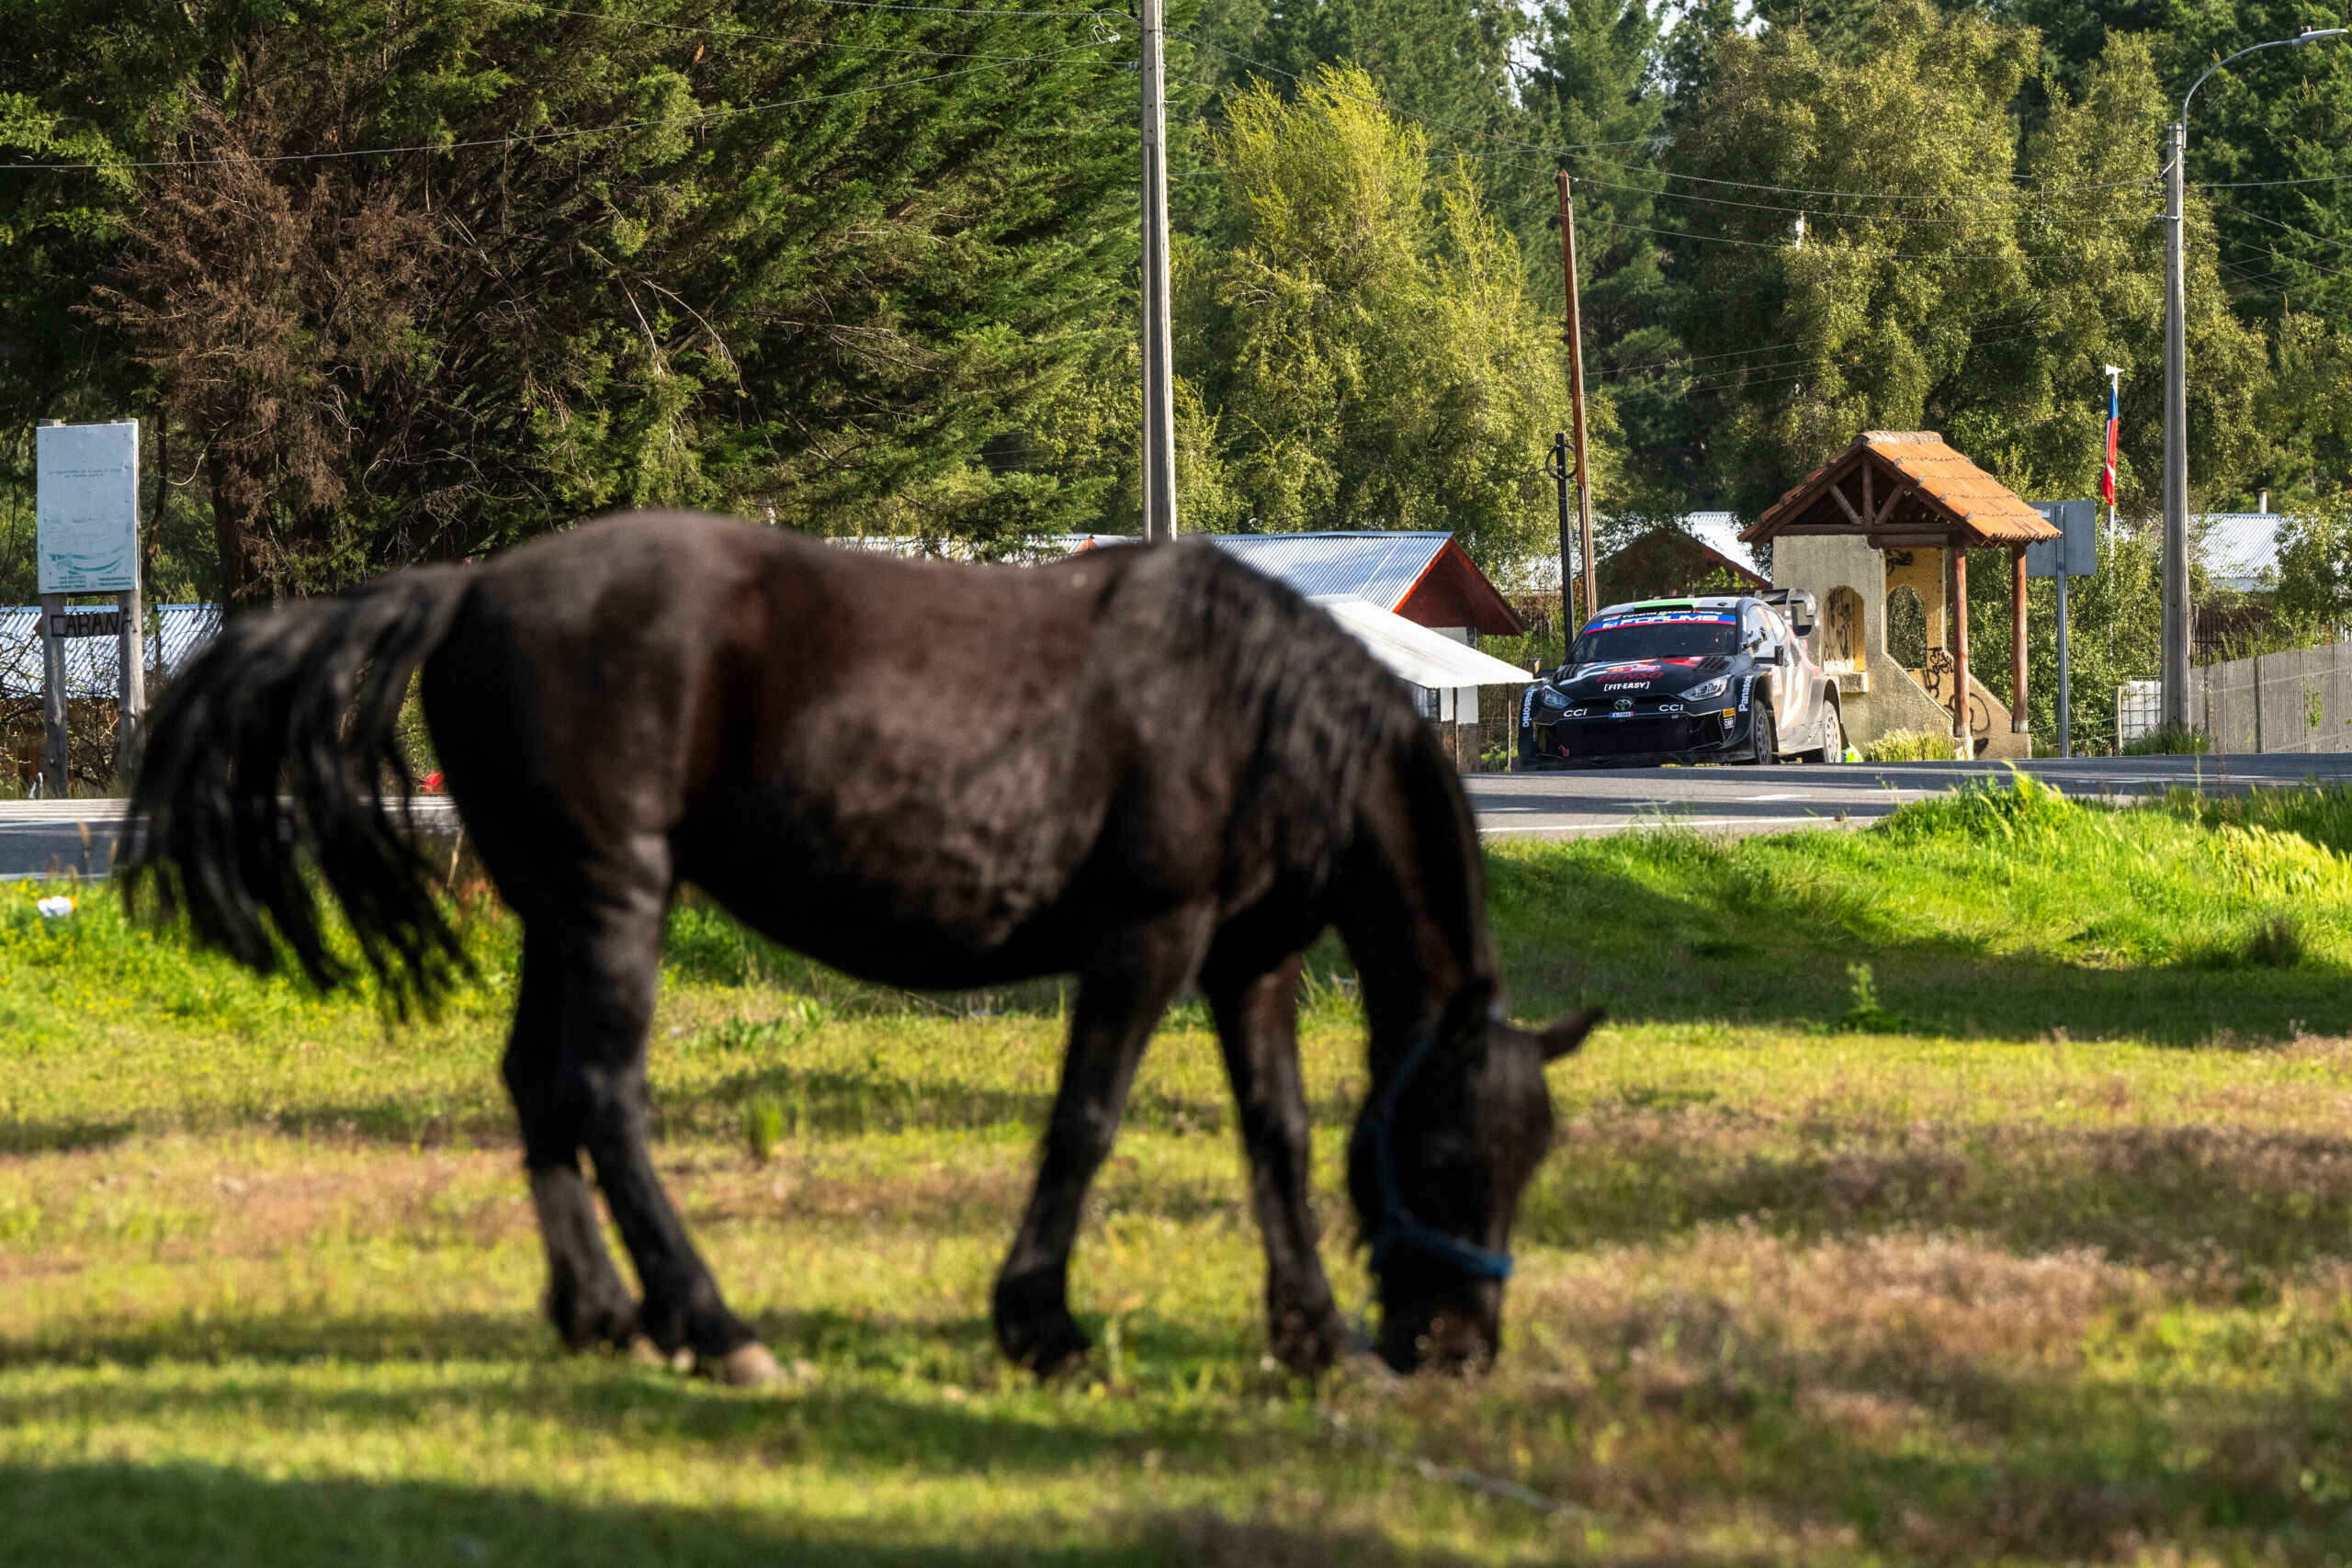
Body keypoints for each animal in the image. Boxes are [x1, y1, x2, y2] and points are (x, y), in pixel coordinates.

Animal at [129, 510, 1599, 1382]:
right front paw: (1041, 1324)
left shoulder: (1251, 966)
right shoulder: (1146, 944)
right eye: (1449, 1155)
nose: (1458, 1347)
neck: (1253, 706)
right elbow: (1086, 1122)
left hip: (559, 909)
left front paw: (1314, 1334)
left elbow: (1277, 1138)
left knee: (538, 1087)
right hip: (616, 904)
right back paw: (714, 1325)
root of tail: (470, 586)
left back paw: (604, 1314)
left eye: (1530, 1161)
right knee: (602, 1091)